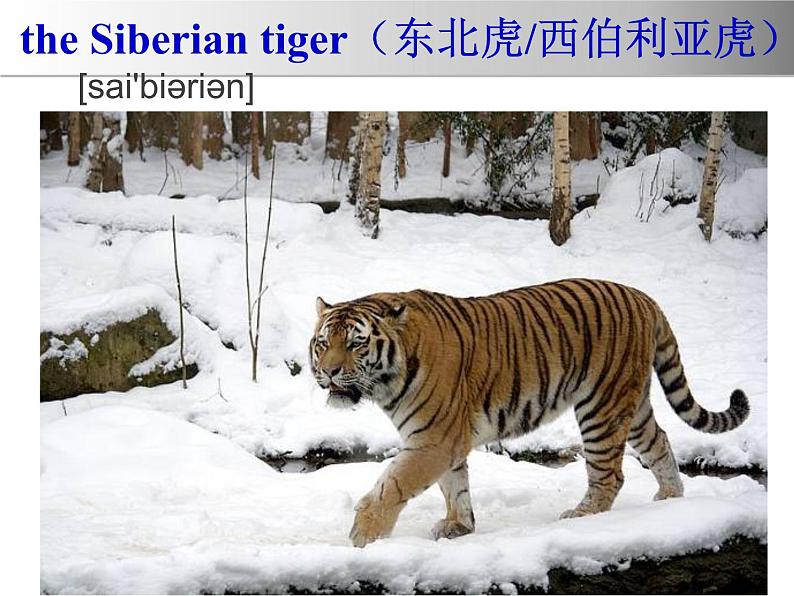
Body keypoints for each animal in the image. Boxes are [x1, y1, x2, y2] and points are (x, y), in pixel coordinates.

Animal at [308, 279, 750, 548]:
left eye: (356, 344)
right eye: (323, 343)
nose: (328, 371)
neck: (388, 379)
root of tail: (645, 298)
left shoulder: (433, 440)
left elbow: (392, 485)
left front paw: (363, 537)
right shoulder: (445, 440)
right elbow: (455, 486)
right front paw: (459, 526)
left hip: (601, 407)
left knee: (610, 474)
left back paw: (582, 516)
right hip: (632, 403)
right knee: (658, 441)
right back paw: (669, 498)